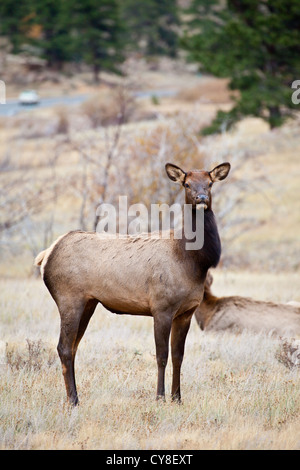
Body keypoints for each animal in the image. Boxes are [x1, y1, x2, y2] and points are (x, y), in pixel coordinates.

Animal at [35, 161, 232, 404]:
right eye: (187, 184)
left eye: (210, 183)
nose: (202, 198)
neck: (193, 261)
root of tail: (46, 255)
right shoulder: (161, 307)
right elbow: (162, 356)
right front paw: (160, 397)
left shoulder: (186, 311)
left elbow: (179, 356)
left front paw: (177, 398)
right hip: (68, 298)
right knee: (63, 346)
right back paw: (73, 400)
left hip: (88, 303)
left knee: (72, 347)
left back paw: (75, 397)